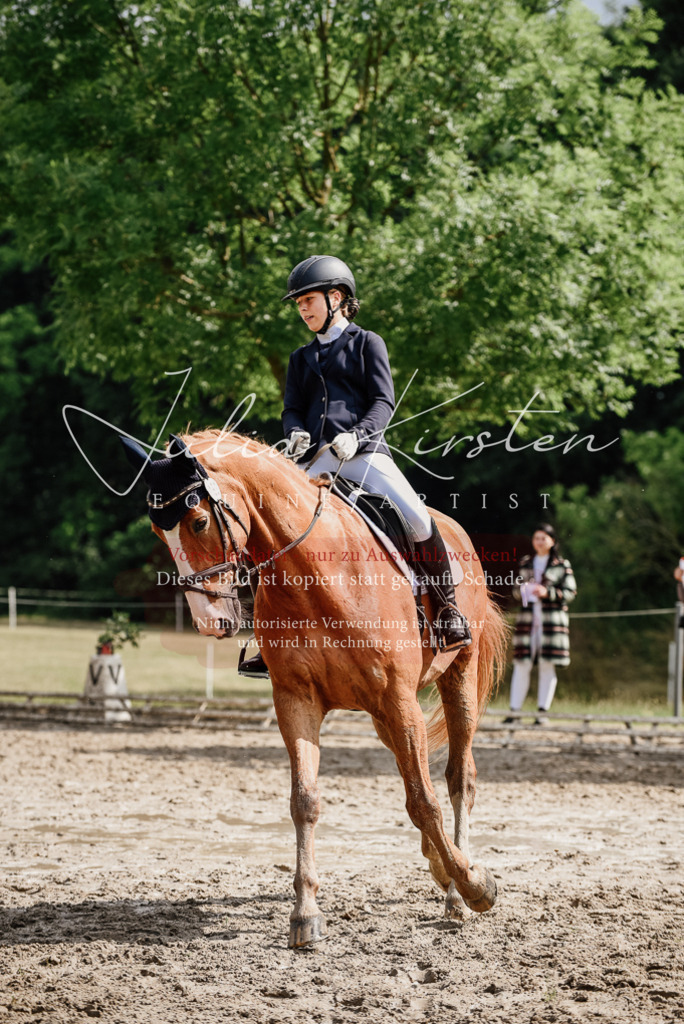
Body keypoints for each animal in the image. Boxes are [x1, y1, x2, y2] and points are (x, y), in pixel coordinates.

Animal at [122, 429, 509, 948]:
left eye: (199, 521)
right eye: (156, 533)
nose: (211, 622)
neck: (317, 575)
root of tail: (458, 532)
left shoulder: (397, 697)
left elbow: (425, 801)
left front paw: (475, 884)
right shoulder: (297, 699)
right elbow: (305, 802)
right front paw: (305, 914)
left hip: (455, 677)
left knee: (456, 778)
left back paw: (458, 889)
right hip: (384, 715)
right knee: (414, 773)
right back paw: (443, 867)